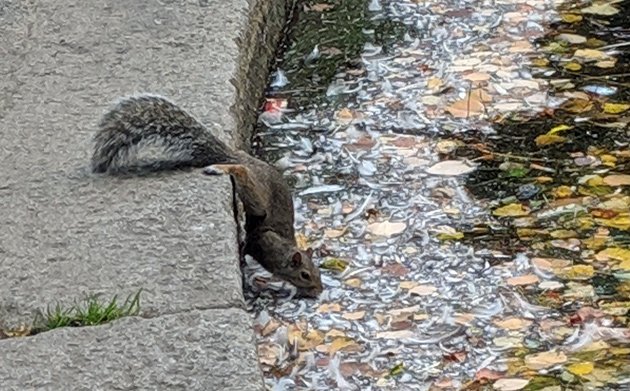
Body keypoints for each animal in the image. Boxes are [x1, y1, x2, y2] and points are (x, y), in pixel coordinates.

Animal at [91, 94, 324, 298]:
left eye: (318, 273)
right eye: (305, 274)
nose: (318, 291)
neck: (285, 249)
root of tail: (239, 157)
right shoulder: (264, 244)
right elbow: (248, 247)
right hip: (257, 195)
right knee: (241, 173)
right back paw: (221, 168)